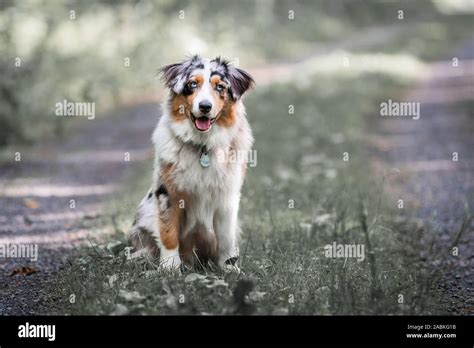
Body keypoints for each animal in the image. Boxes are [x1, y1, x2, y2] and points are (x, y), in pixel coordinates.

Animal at [129, 55, 256, 270]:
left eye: (220, 87)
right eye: (192, 84)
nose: (205, 106)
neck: (202, 147)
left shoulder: (227, 197)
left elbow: (226, 238)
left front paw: (229, 267)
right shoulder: (168, 194)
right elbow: (169, 234)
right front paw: (170, 268)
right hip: (144, 217)